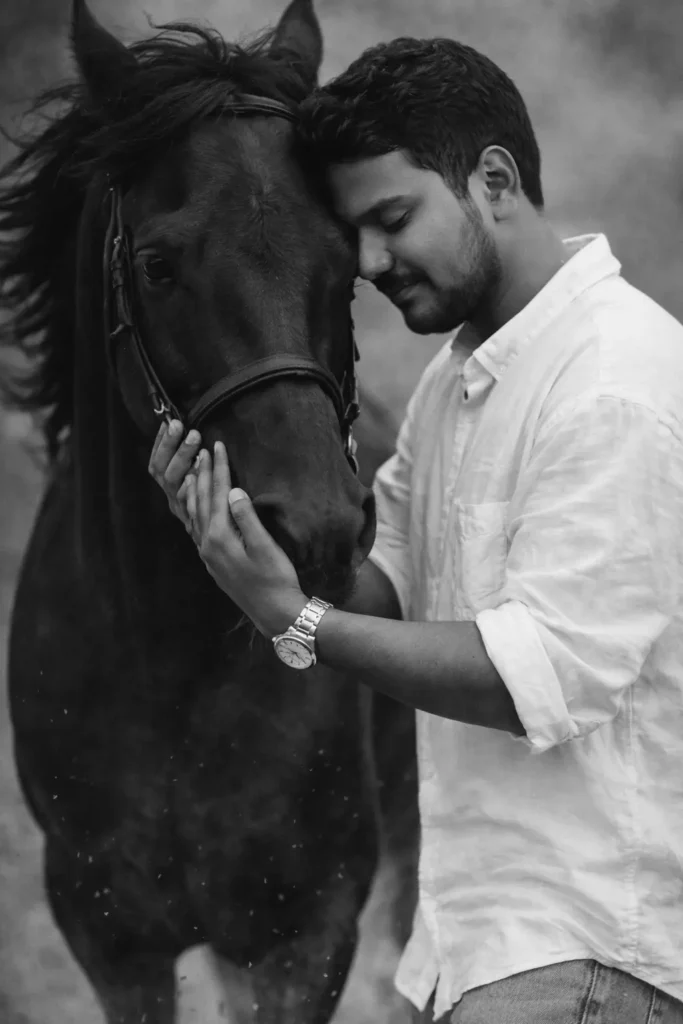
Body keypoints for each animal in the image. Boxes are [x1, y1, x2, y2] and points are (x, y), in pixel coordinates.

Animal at [0, 1, 417, 1021]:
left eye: (349, 263)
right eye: (156, 265)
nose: (314, 529)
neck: (169, 663)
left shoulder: (304, 935)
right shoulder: (116, 939)